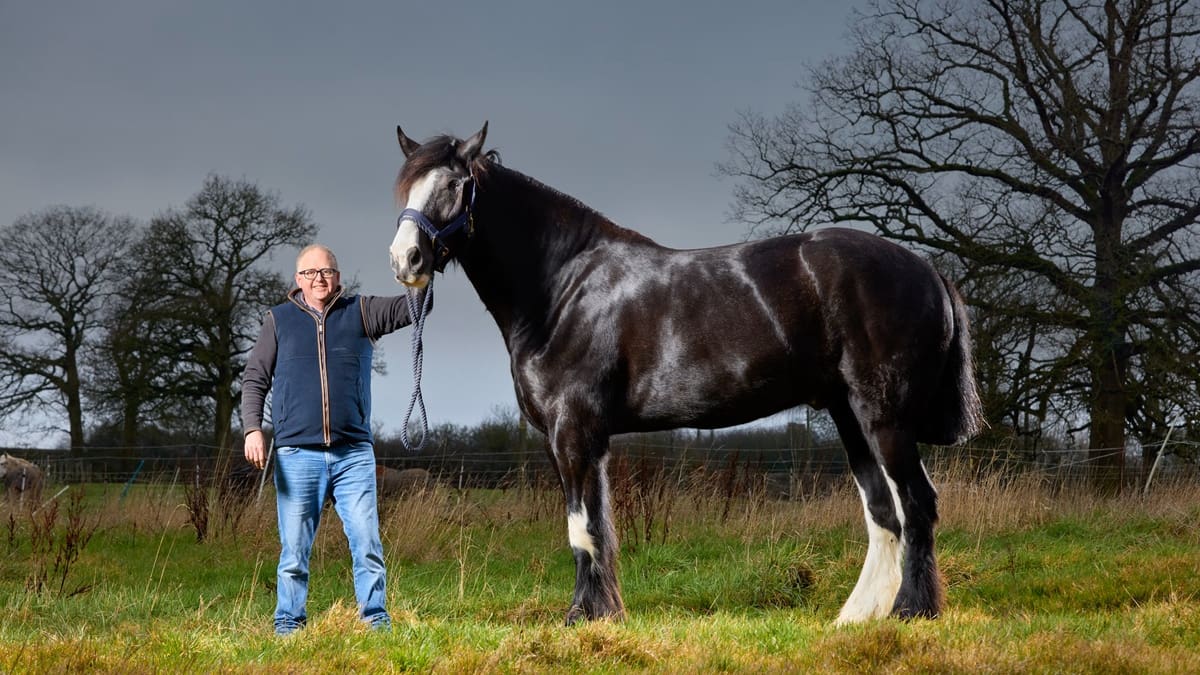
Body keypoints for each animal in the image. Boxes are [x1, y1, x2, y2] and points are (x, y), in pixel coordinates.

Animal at [387, 122, 984, 626]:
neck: (563, 288)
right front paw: (605, 614)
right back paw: (856, 618)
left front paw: (580, 617)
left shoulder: (572, 431)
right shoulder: (578, 440)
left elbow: (582, 528)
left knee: (917, 505)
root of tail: (926, 267)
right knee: (884, 513)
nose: (405, 260)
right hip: (849, 417)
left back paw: (911, 611)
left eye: (453, 185)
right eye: (406, 189)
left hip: (884, 418)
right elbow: (598, 525)